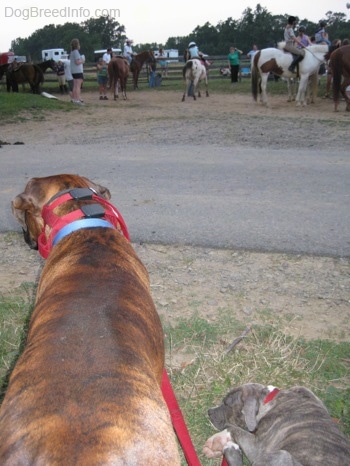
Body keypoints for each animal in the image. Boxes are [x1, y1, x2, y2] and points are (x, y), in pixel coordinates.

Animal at [204, 382, 348, 466]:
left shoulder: (257, 448)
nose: (209, 412)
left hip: (281, 455)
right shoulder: (305, 390)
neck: (268, 400)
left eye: (227, 404)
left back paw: (231, 451)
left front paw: (220, 438)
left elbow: (234, 428)